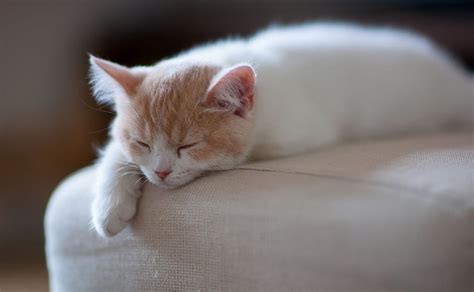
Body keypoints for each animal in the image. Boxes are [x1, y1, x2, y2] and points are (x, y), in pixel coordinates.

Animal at [90, 22, 474, 237]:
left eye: (188, 145)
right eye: (142, 142)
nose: (161, 172)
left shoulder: (297, 134)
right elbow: (115, 155)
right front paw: (110, 207)